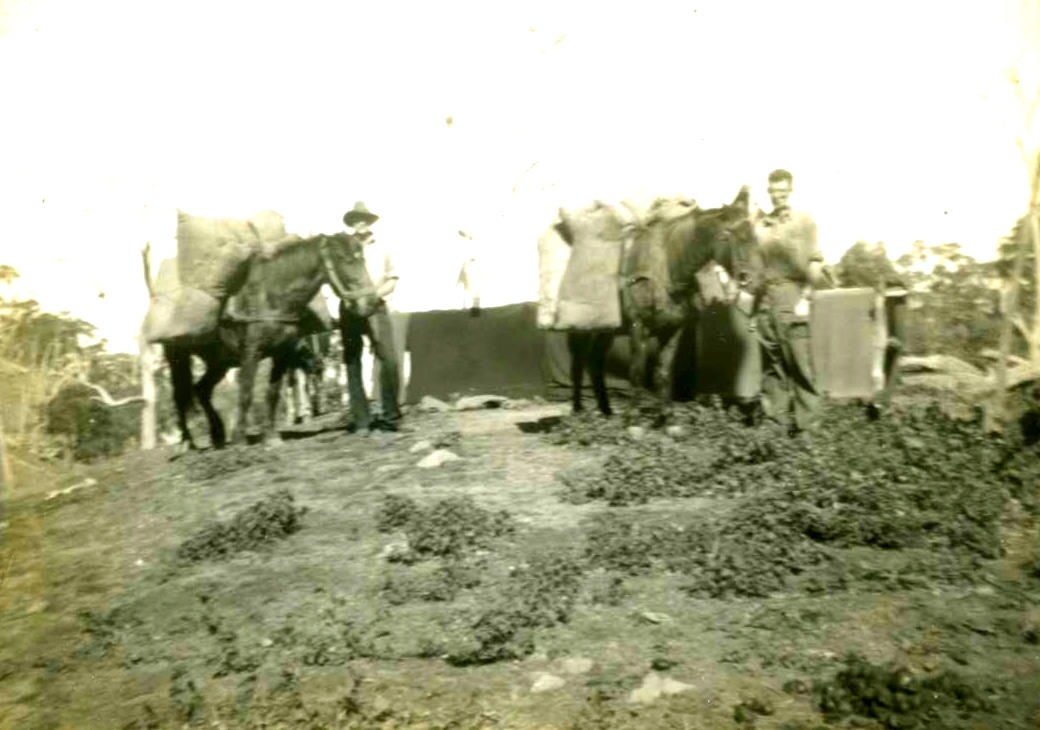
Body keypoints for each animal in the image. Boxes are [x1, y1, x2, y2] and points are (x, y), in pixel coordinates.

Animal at [162, 232, 375, 450]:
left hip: (218, 362)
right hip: (179, 359)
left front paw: (271, 437)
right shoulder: (251, 352)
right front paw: (240, 439)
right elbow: (246, 393)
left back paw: (218, 435)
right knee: (180, 397)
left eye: (362, 257)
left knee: (202, 390)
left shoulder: (282, 353)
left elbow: (272, 392)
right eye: (343, 258)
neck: (271, 297)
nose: (371, 302)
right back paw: (188, 443)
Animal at [566, 187, 760, 421]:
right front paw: (631, 418)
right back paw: (577, 409)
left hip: (607, 330)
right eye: (728, 235)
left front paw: (666, 416)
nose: (750, 279)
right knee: (578, 364)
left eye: (753, 235)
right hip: (582, 329)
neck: (666, 270)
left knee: (594, 362)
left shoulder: (672, 329)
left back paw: (606, 410)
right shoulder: (638, 327)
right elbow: (637, 372)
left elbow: (663, 372)